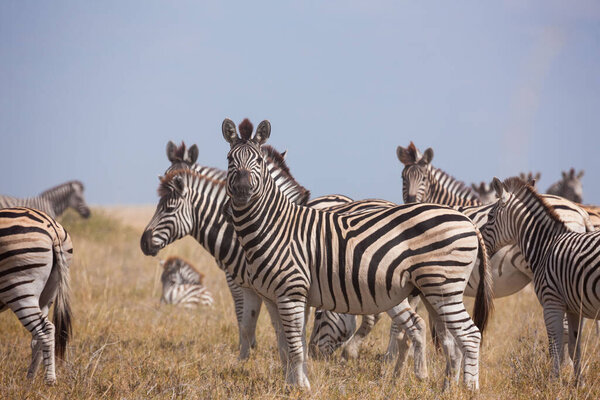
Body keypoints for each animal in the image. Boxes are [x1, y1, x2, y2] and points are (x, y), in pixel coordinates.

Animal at [0, 206, 72, 384]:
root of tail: (51, 226)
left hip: (20, 288)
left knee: (45, 330)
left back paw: (49, 380)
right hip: (49, 294)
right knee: (38, 336)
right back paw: (29, 382)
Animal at [220, 119, 492, 390]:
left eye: (258, 160)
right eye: (230, 159)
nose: (242, 191)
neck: (274, 225)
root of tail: (468, 220)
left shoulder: (292, 292)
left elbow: (295, 347)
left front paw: (302, 387)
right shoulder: (272, 297)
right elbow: (284, 348)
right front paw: (290, 386)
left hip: (444, 286)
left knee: (470, 334)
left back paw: (469, 389)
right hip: (432, 292)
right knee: (451, 341)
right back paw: (447, 388)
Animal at [480, 177, 600, 382]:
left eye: (489, 217)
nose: (477, 237)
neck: (546, 246)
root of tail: (584, 214)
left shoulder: (552, 303)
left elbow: (555, 345)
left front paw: (554, 382)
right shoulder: (574, 307)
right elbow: (574, 345)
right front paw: (578, 383)